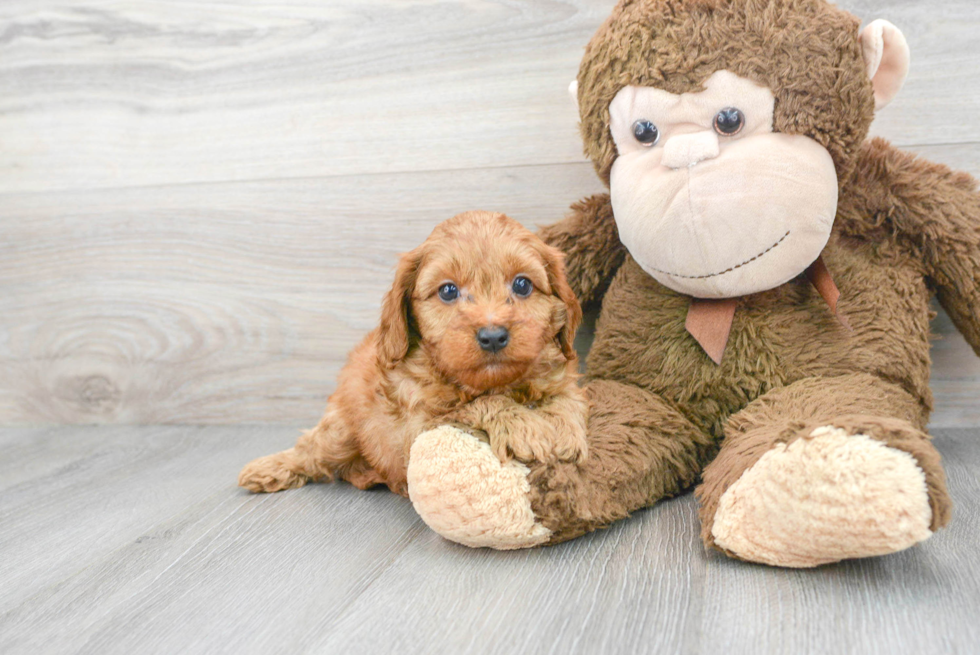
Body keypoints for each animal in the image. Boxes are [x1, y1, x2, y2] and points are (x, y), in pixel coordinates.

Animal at [240, 211, 584, 498]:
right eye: (448, 291)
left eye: (523, 285)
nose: (493, 336)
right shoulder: (419, 427)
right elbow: (475, 405)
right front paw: (523, 425)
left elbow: (567, 399)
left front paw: (566, 429)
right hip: (340, 430)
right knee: (311, 451)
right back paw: (267, 469)